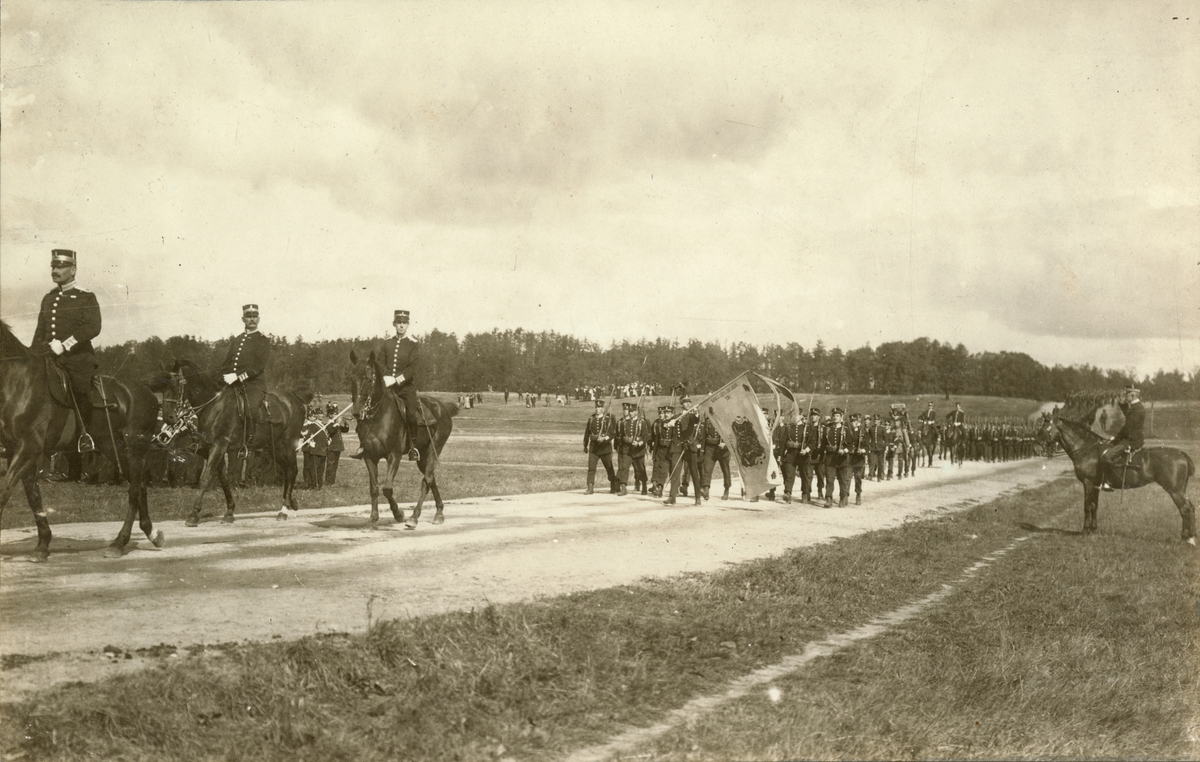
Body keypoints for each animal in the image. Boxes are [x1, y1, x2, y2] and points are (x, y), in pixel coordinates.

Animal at [0, 321, 164, 561]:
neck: (17, 381)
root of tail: (147, 391)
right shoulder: (16, 450)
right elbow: (33, 496)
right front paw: (42, 544)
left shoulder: (29, 448)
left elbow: (4, 492)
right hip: (114, 448)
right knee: (140, 486)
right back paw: (151, 533)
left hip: (135, 447)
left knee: (134, 490)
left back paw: (119, 543)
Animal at [146, 360, 309, 528]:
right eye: (162, 388)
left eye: (176, 385)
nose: (169, 418)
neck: (214, 406)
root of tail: (295, 399)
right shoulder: (211, 448)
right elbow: (223, 479)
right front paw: (229, 511)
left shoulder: (218, 446)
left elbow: (206, 478)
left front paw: (193, 514)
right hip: (272, 447)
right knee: (288, 470)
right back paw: (290, 502)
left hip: (288, 443)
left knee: (292, 470)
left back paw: (284, 510)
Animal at [350, 352, 460, 530]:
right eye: (351, 378)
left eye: (368, 378)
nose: (356, 412)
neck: (378, 416)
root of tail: (441, 406)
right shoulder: (369, 456)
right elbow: (374, 488)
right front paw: (373, 519)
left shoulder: (394, 455)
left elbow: (387, 489)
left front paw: (399, 514)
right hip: (422, 455)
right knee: (431, 478)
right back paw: (439, 513)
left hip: (434, 449)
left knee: (426, 480)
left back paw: (414, 517)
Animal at [1056, 415, 1195, 544]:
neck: (1087, 449)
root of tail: (1181, 453)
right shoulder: (1095, 485)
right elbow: (1095, 506)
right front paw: (1093, 529)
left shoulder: (1088, 483)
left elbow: (1087, 506)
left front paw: (1085, 531)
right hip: (1181, 490)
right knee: (1191, 507)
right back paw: (1192, 537)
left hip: (1175, 491)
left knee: (1185, 509)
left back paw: (1185, 538)